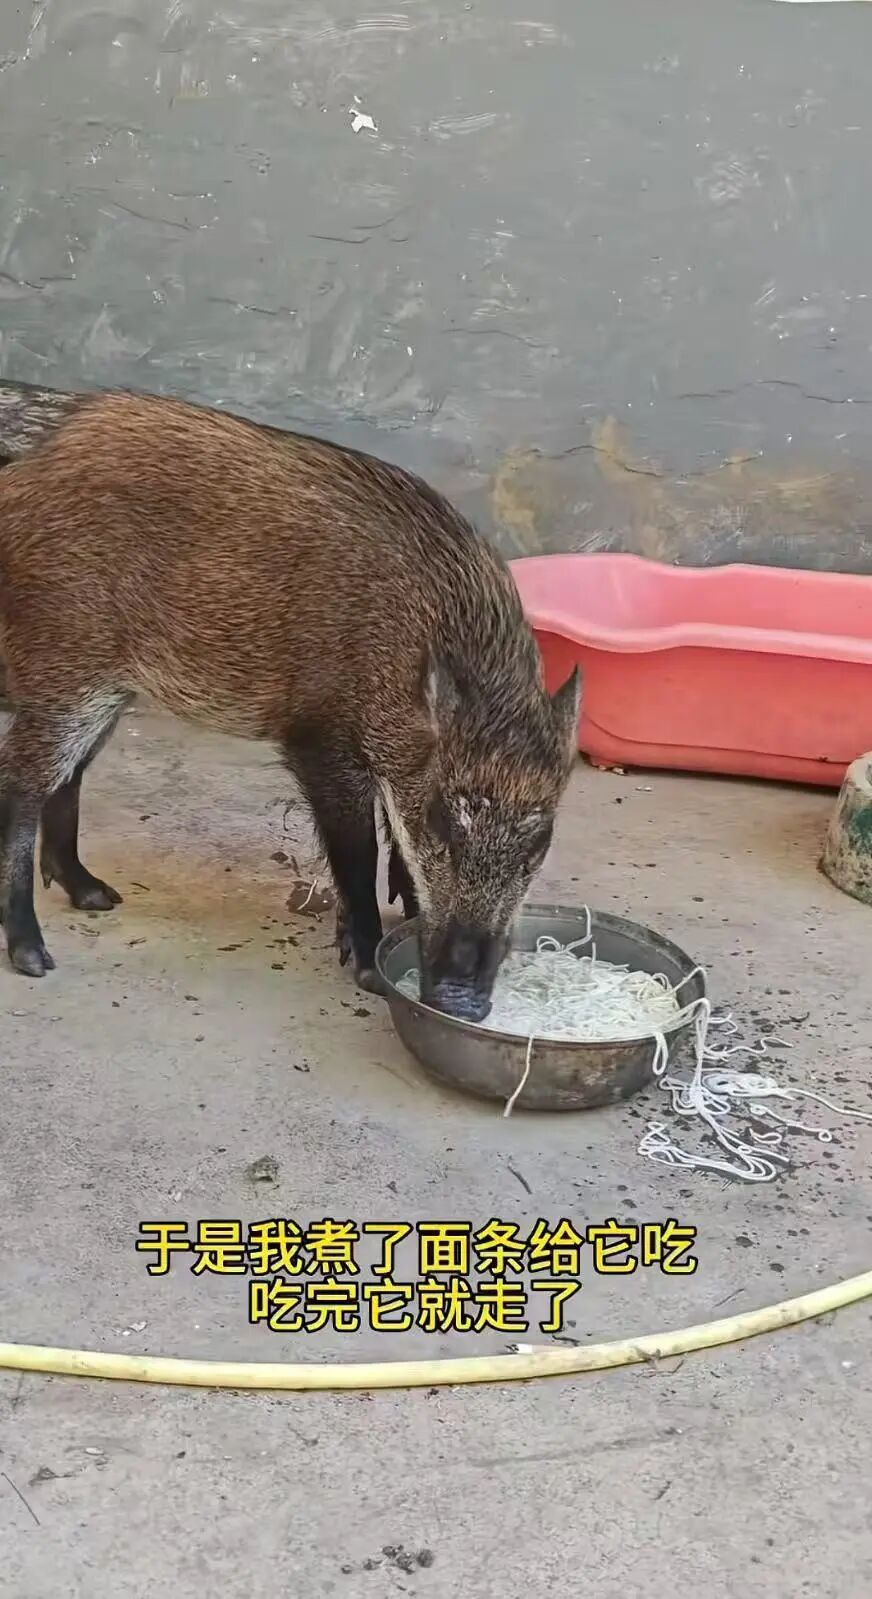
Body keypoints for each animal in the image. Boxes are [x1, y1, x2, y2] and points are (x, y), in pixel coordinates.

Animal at [0, 389, 580, 1021]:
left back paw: (96, 896)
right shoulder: (319, 736)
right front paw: (369, 968)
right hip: (66, 667)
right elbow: (356, 850)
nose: (461, 1001)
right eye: (442, 825)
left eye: (540, 843)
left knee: (69, 778)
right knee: (19, 790)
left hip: (104, 690)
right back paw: (33, 957)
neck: (408, 646)